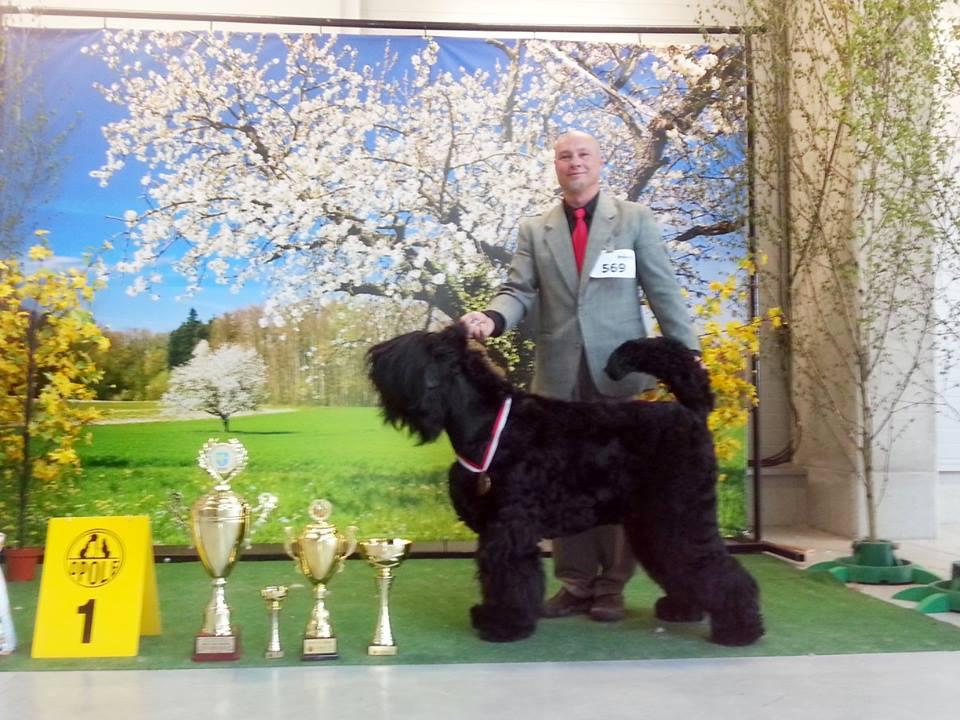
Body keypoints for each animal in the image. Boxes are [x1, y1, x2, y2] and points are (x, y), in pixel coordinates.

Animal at [368, 326, 764, 648]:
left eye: (409, 352)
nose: (373, 357)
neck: (489, 421)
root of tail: (694, 412)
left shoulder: (509, 528)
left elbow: (510, 576)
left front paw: (503, 625)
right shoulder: (494, 529)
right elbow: (493, 575)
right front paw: (489, 614)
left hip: (681, 514)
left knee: (713, 565)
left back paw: (740, 629)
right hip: (653, 522)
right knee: (680, 563)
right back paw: (684, 608)